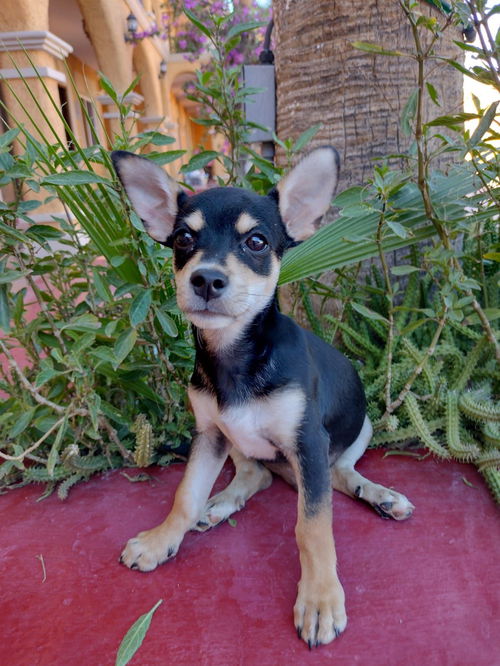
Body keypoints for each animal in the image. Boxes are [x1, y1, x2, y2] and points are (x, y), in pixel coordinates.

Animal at [112, 148, 414, 644]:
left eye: (256, 242)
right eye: (182, 239)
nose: (206, 280)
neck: (238, 357)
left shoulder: (307, 442)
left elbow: (313, 527)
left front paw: (319, 599)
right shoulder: (209, 433)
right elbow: (185, 495)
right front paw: (161, 539)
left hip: (357, 430)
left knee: (340, 473)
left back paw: (379, 495)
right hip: (237, 441)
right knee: (258, 475)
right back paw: (219, 505)